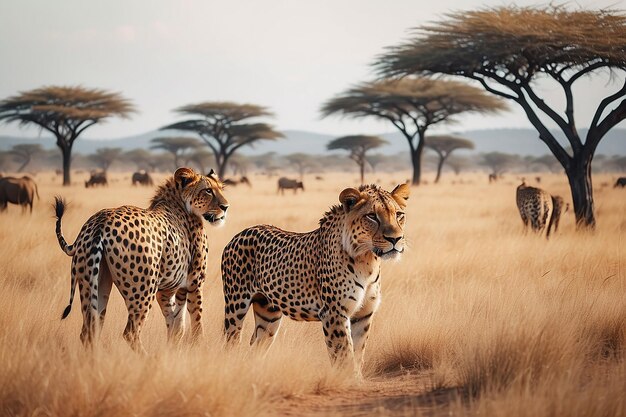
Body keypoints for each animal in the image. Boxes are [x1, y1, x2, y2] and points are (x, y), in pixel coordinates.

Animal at [54, 167, 228, 350]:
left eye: (221, 188)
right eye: (208, 190)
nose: (225, 207)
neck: (180, 202)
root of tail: (100, 222)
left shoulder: (167, 290)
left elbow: (176, 324)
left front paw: (172, 349)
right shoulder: (195, 282)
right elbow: (196, 322)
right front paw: (197, 346)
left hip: (95, 285)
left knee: (89, 331)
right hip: (144, 290)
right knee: (130, 332)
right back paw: (149, 356)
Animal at [219, 184, 410, 372]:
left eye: (399, 215)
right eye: (372, 216)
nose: (395, 239)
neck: (367, 259)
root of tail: (240, 233)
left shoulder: (363, 314)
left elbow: (357, 354)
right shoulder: (334, 313)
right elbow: (345, 356)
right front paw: (349, 378)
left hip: (268, 313)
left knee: (257, 345)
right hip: (236, 305)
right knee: (230, 341)